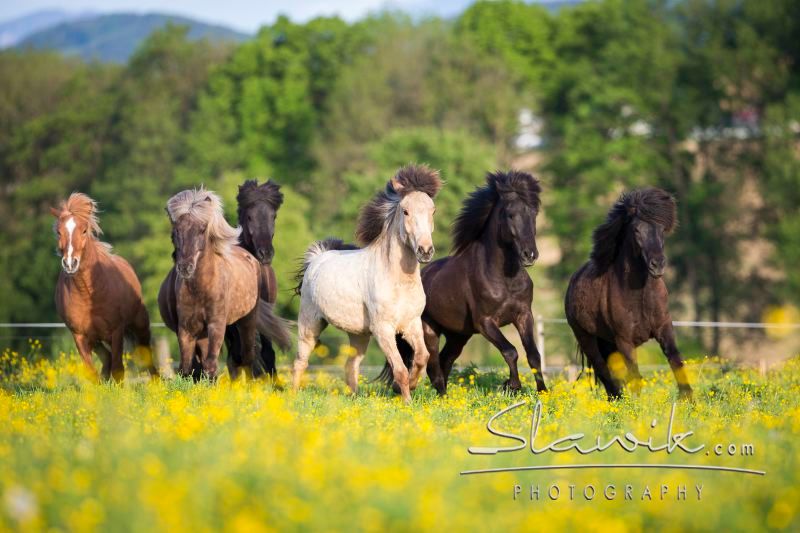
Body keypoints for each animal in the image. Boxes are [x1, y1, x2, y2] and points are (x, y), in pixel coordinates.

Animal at [51, 193, 155, 381]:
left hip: (140, 325)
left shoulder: (116, 331)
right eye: (59, 232)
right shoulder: (80, 336)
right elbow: (92, 373)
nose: (70, 263)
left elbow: (118, 369)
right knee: (107, 357)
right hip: (96, 340)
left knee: (147, 357)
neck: (88, 294)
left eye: (84, 230)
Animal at [157, 188, 290, 380]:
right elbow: (187, 368)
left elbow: (212, 365)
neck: (201, 288)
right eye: (175, 232)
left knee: (247, 357)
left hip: (246, 322)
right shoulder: (186, 329)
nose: (185, 267)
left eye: (202, 230)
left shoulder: (217, 326)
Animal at [292, 164, 441, 403]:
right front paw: (406, 400)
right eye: (405, 211)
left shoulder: (412, 324)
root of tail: (316, 258)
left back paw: (353, 397)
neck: (399, 282)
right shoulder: (383, 330)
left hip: (358, 334)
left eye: (432, 211)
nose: (425, 250)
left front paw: (411, 385)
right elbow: (400, 368)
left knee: (350, 365)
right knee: (300, 361)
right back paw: (293, 394)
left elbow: (421, 358)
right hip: (310, 324)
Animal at [378, 170, 547, 394]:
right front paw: (512, 386)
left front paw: (543, 392)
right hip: (428, 331)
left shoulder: (523, 315)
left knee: (445, 360)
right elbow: (511, 351)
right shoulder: (485, 322)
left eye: (534, 214)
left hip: (458, 335)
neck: (505, 279)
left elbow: (534, 355)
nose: (530, 255)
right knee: (433, 365)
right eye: (510, 214)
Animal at [564, 187, 693, 400]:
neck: (640, 295)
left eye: (661, 229)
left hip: (608, 343)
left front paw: (689, 401)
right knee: (604, 372)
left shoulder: (664, 328)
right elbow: (635, 377)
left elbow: (676, 362)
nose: (657, 265)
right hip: (587, 339)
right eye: (637, 230)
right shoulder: (625, 340)